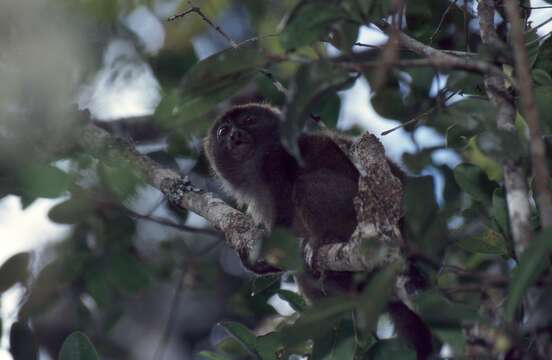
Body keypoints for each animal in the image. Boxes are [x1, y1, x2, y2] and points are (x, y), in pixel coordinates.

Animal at [205, 102, 434, 358]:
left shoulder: (275, 161)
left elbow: (283, 223)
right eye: (223, 132)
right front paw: (257, 264)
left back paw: (324, 239)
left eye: (249, 120)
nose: (235, 135)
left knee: (306, 185)